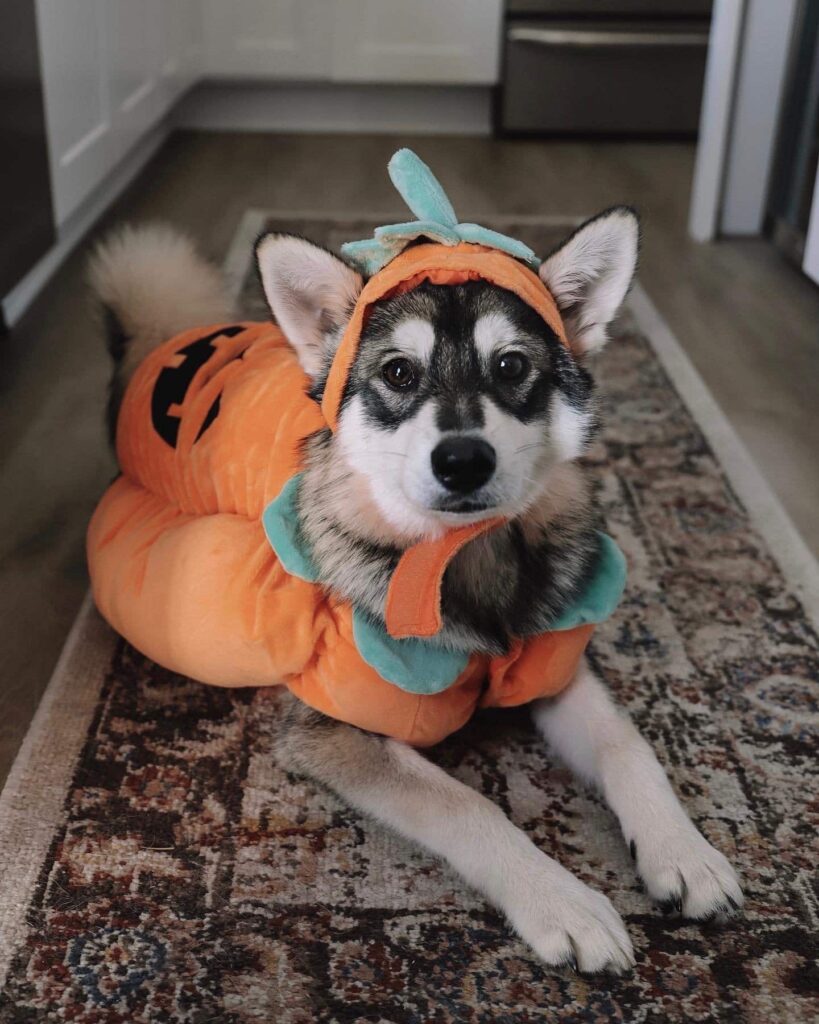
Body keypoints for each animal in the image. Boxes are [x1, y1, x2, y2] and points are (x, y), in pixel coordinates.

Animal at [89, 209, 741, 974]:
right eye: (398, 372)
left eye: (511, 366)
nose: (462, 461)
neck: (463, 557)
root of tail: (161, 346)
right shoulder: (333, 730)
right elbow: (466, 806)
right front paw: (562, 901)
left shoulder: (554, 667)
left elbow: (627, 745)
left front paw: (683, 852)